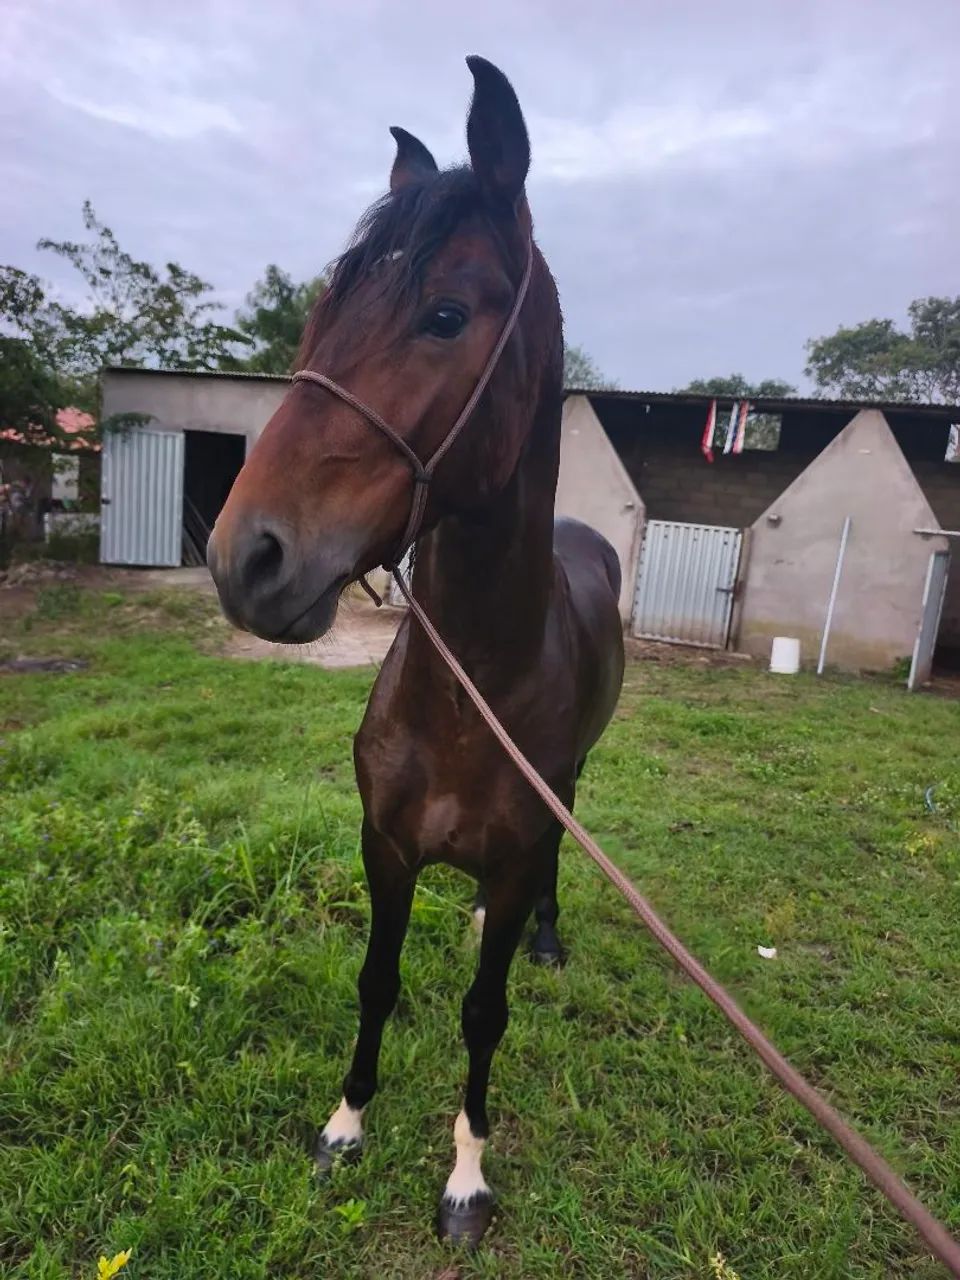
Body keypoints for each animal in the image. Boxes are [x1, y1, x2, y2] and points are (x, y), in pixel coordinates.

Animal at [207, 55, 625, 1246]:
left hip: (574, 780)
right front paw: (345, 1125)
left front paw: (466, 1174)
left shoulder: (520, 846)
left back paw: (543, 934)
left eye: (445, 314)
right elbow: (376, 981)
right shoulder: (384, 846)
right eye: (322, 312)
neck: (465, 693)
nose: (245, 555)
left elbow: (485, 1013)